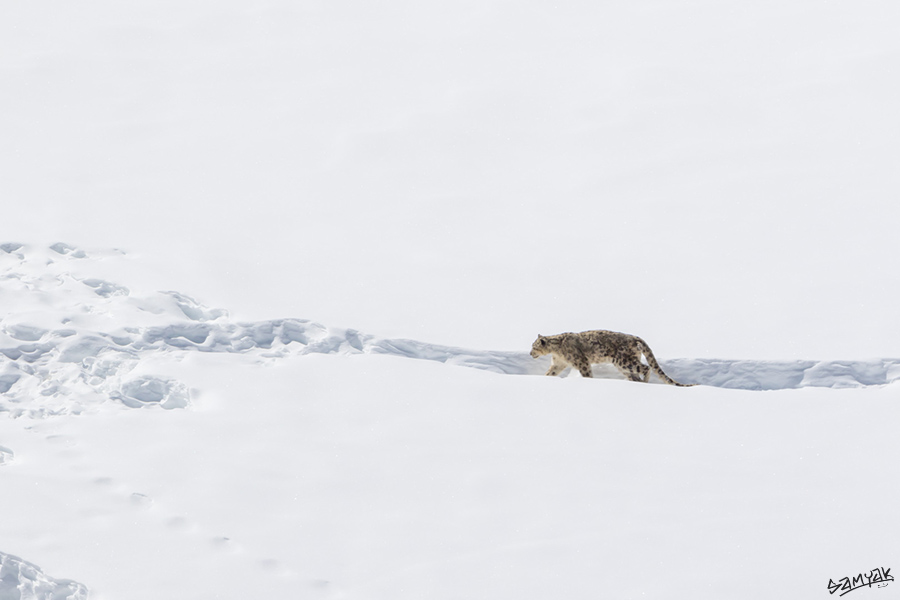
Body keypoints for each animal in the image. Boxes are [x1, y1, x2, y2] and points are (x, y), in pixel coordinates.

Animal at [532, 330, 692, 386]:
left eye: (533, 346)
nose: (531, 353)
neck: (556, 351)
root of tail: (636, 337)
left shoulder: (581, 361)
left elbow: (587, 373)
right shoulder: (558, 364)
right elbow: (550, 373)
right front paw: (544, 378)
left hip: (623, 361)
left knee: (646, 368)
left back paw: (645, 383)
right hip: (624, 366)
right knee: (636, 375)